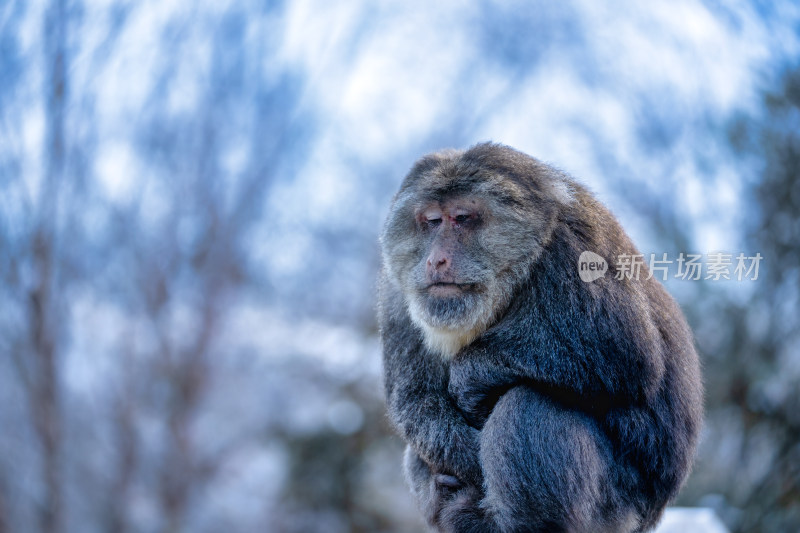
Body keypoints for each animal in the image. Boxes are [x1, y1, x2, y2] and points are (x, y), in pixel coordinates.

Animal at [378, 142, 704, 532]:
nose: (436, 260)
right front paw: (464, 460)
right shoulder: (397, 291)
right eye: (431, 221)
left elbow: (626, 354)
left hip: (614, 508)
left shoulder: (572, 249)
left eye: (462, 217)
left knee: (529, 405)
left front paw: (471, 375)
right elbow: (414, 397)